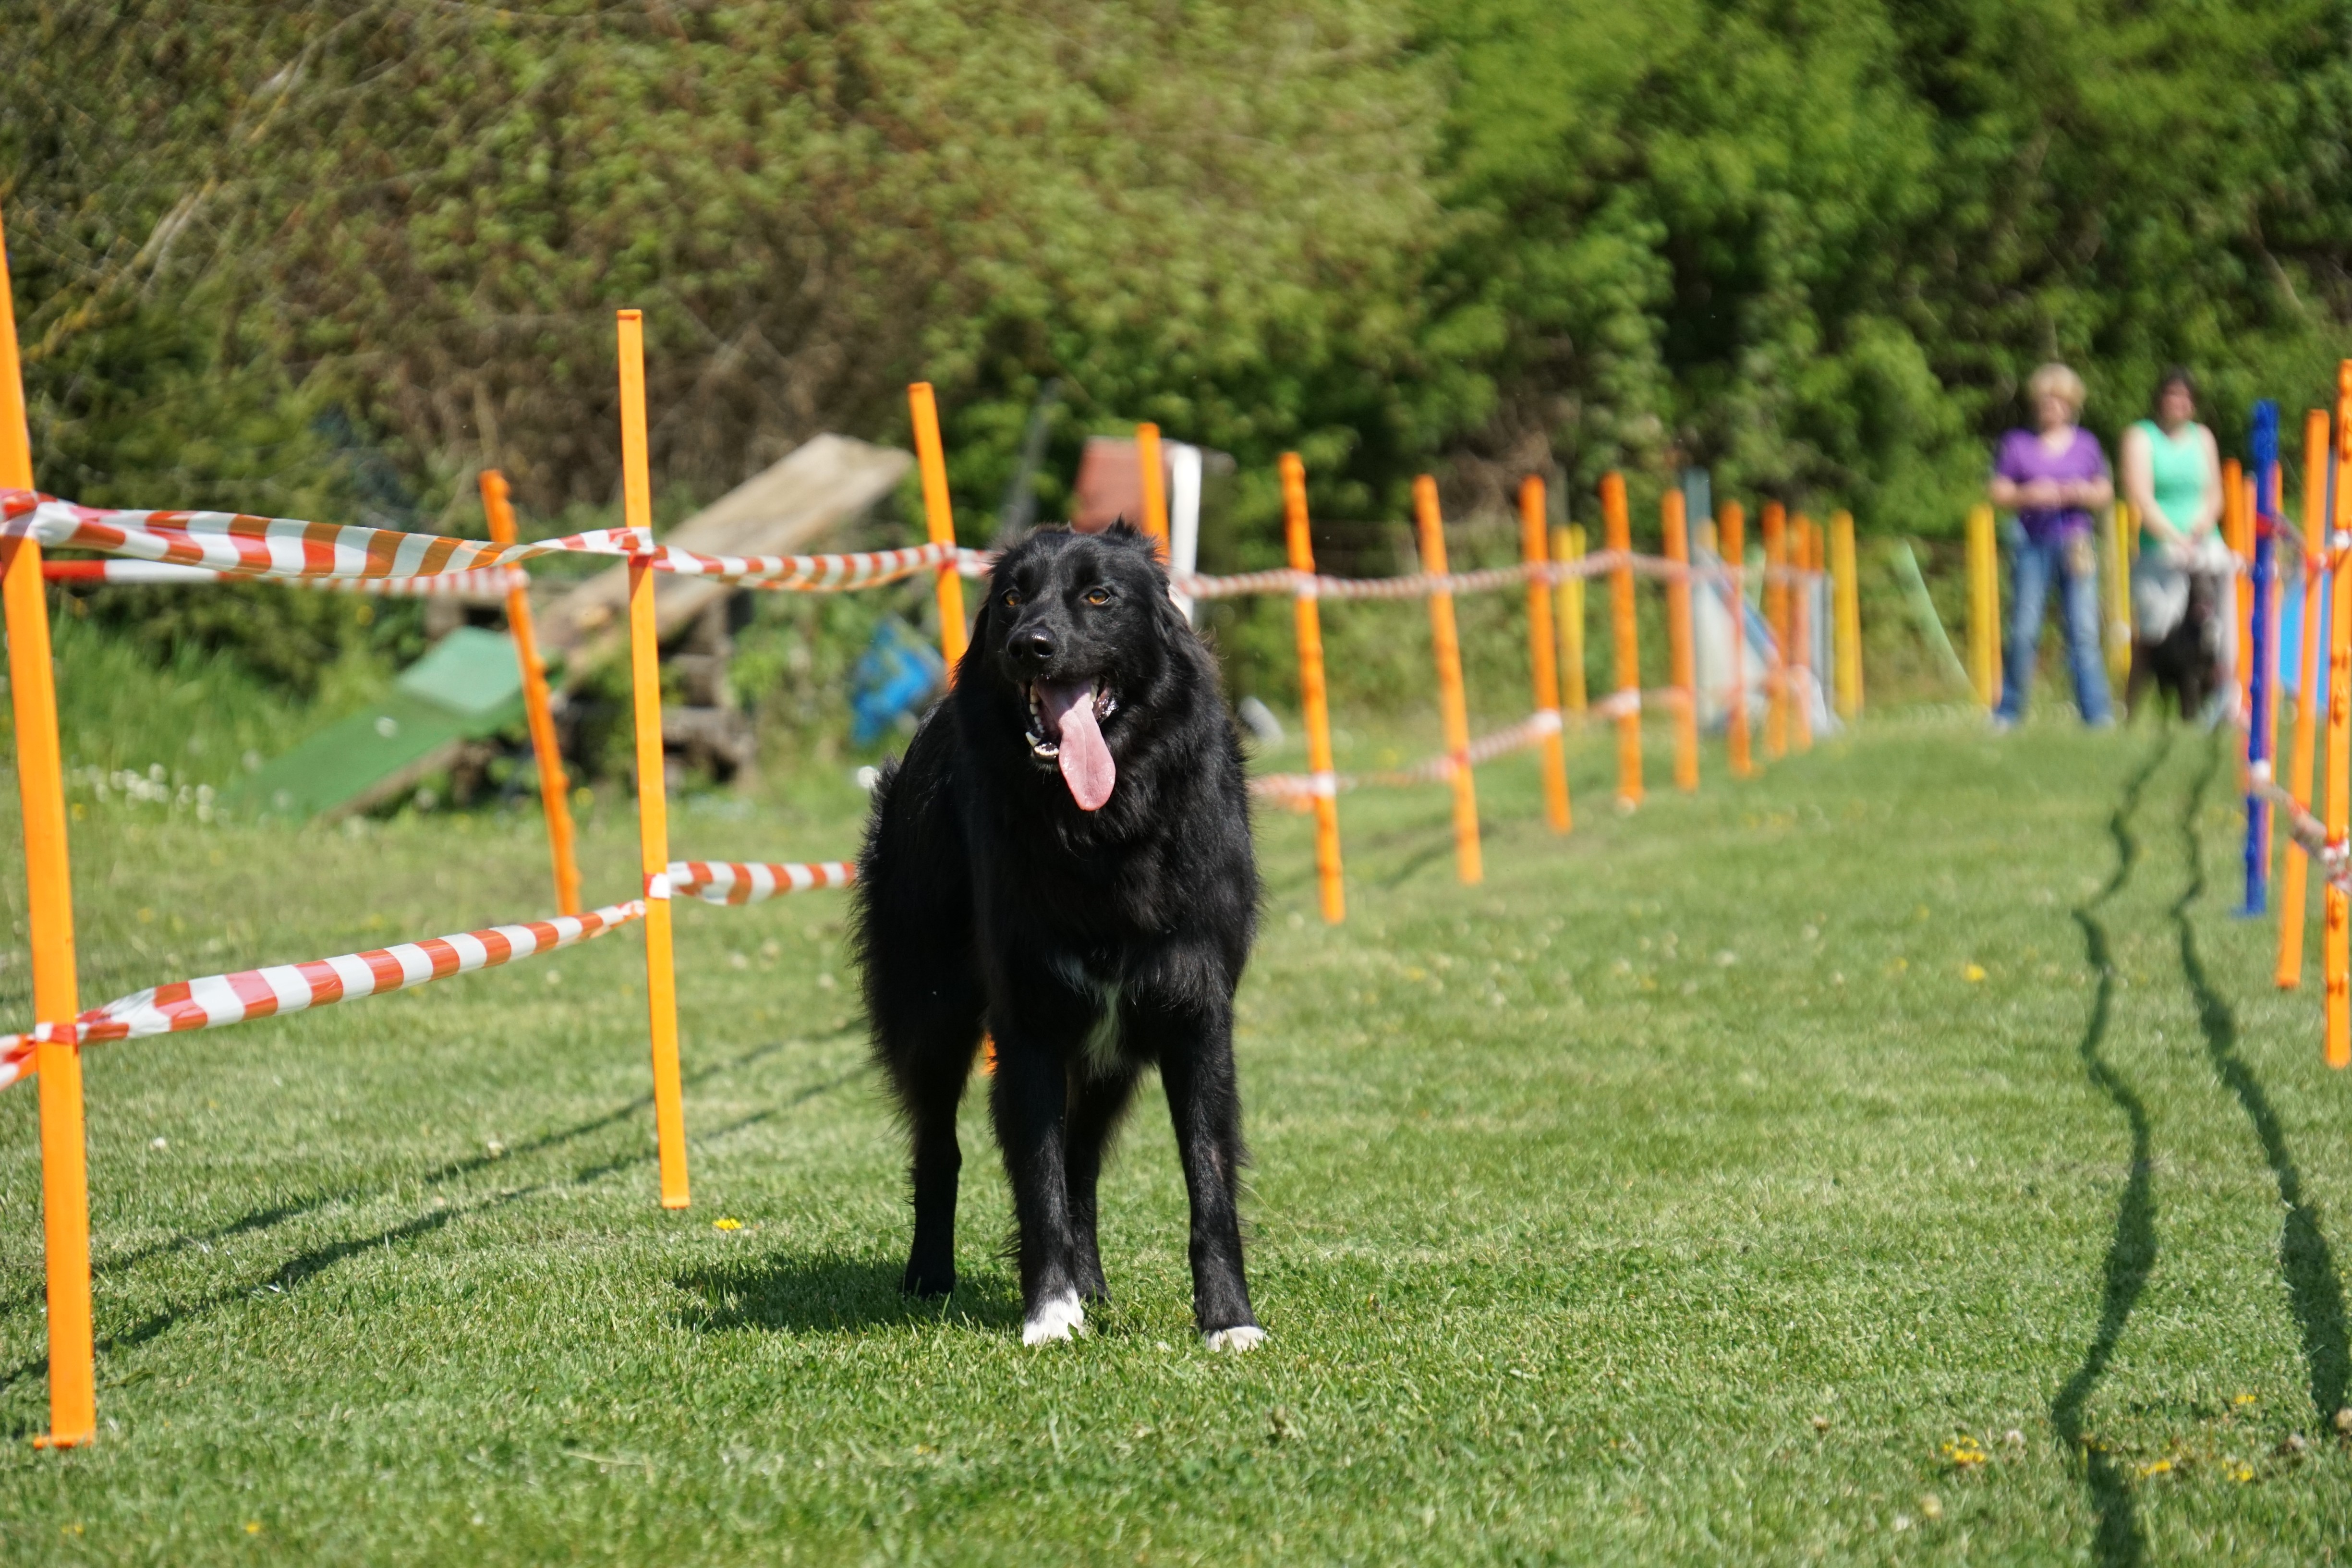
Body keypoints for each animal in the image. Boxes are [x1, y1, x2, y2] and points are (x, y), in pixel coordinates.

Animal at [854, 522, 1265, 1349]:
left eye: (1099, 596)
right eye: (1012, 597)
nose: (1029, 646)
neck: (1103, 826)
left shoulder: (1195, 1016)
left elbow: (1207, 1182)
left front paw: (1228, 1322)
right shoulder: (1029, 1024)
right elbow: (1035, 1178)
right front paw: (1049, 1314)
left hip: (1112, 1052)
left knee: (1082, 1162)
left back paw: (1094, 1284)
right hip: (933, 1016)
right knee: (938, 1149)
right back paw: (930, 1278)